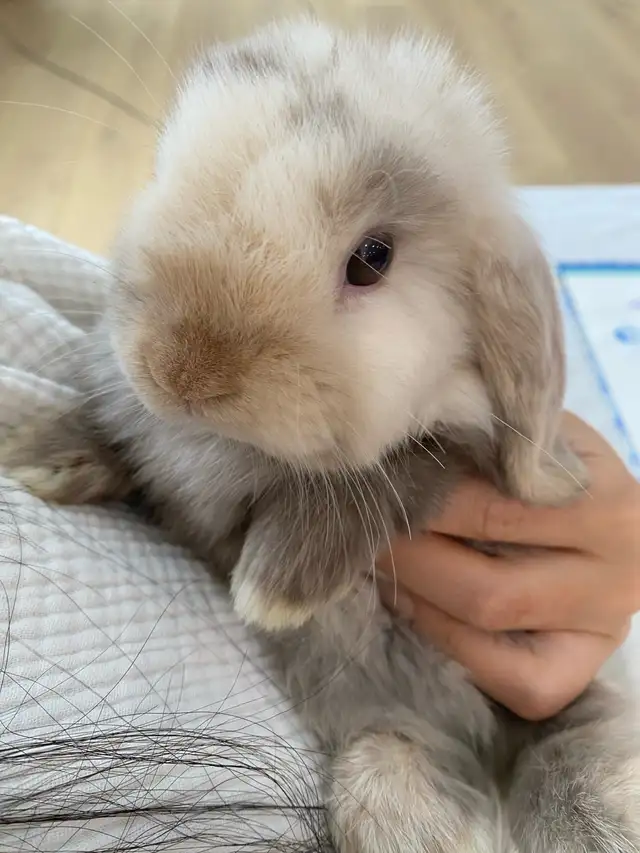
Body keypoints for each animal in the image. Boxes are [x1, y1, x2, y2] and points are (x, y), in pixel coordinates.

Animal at [2, 18, 639, 853]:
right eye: (160, 170)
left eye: (372, 259)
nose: (178, 370)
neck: (226, 444)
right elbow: (132, 449)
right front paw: (38, 448)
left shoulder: (441, 455)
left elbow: (388, 475)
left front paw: (276, 585)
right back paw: (417, 815)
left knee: (562, 745)